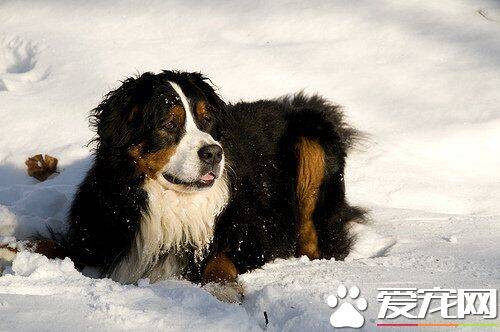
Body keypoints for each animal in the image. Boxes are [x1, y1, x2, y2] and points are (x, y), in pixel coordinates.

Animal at [45, 70, 364, 304]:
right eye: (169, 124)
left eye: (207, 119)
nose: (213, 153)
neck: (174, 203)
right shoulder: (96, 230)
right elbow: (51, 246)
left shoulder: (254, 231)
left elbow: (220, 255)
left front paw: (223, 287)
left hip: (311, 142)